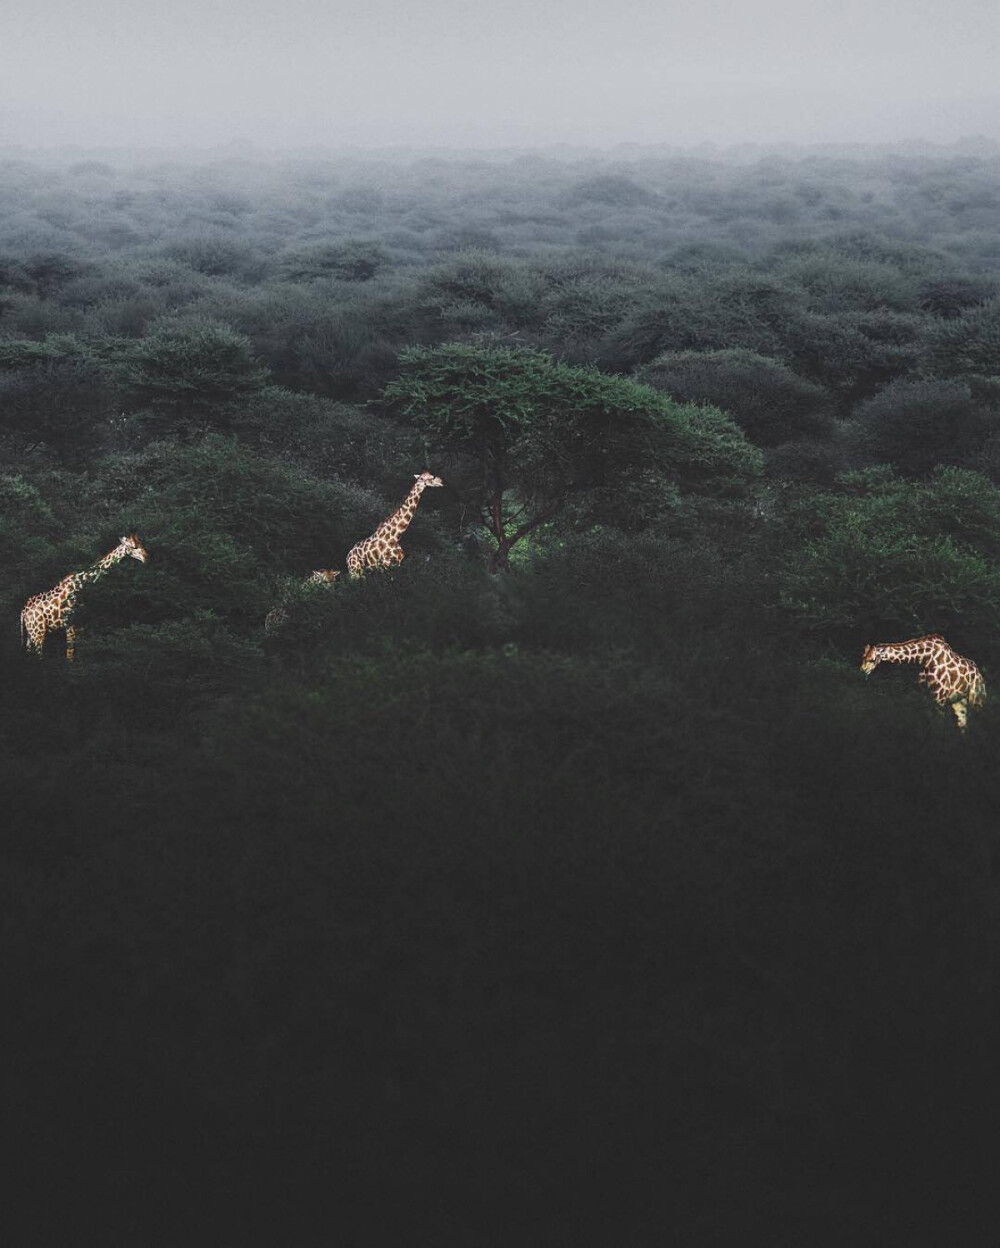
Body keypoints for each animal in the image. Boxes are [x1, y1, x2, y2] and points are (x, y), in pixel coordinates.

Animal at [19, 529, 150, 658]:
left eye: (141, 544)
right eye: (133, 547)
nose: (146, 558)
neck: (81, 583)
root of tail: (23, 612)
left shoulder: (80, 623)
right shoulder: (70, 623)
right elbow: (70, 655)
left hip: (31, 634)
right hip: (38, 632)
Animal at [853, 633, 988, 728]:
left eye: (872, 659)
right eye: (862, 657)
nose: (861, 672)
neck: (924, 659)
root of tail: (980, 676)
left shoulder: (940, 698)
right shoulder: (924, 695)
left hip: (976, 700)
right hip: (959, 703)